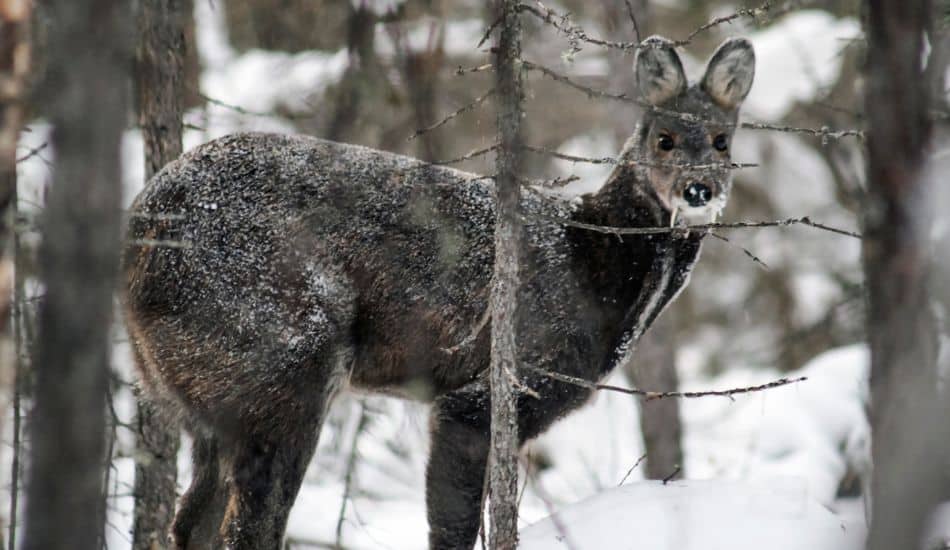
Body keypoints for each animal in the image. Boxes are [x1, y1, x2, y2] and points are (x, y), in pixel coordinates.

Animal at [122, 36, 755, 550]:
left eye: (723, 141)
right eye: (664, 139)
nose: (698, 190)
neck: (592, 266)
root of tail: (142, 231)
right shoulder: (492, 388)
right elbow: (451, 527)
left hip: (200, 394)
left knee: (191, 523)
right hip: (278, 356)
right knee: (247, 526)